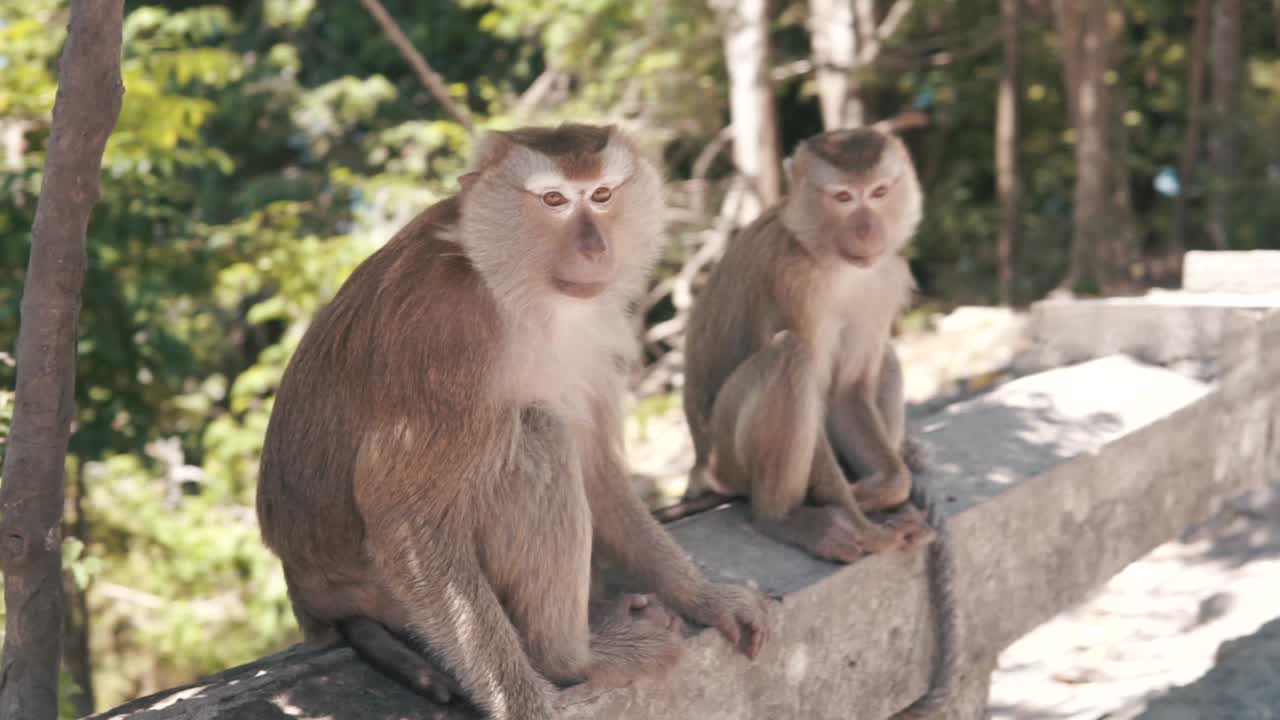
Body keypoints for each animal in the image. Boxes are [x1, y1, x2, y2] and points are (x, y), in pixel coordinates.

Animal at [255, 123, 769, 720]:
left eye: (601, 195)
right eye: (553, 201)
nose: (595, 247)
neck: (509, 288)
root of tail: (305, 586)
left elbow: (597, 468)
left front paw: (704, 597)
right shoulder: (446, 338)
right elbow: (404, 517)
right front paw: (522, 700)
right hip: (382, 593)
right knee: (537, 434)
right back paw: (570, 658)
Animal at [677, 127, 958, 719]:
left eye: (878, 192)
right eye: (843, 198)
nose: (868, 229)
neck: (835, 260)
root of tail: (699, 463)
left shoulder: (884, 275)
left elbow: (849, 392)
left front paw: (880, 490)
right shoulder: (796, 278)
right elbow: (813, 374)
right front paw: (862, 526)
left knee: (882, 359)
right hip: (727, 457)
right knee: (792, 356)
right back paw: (784, 518)